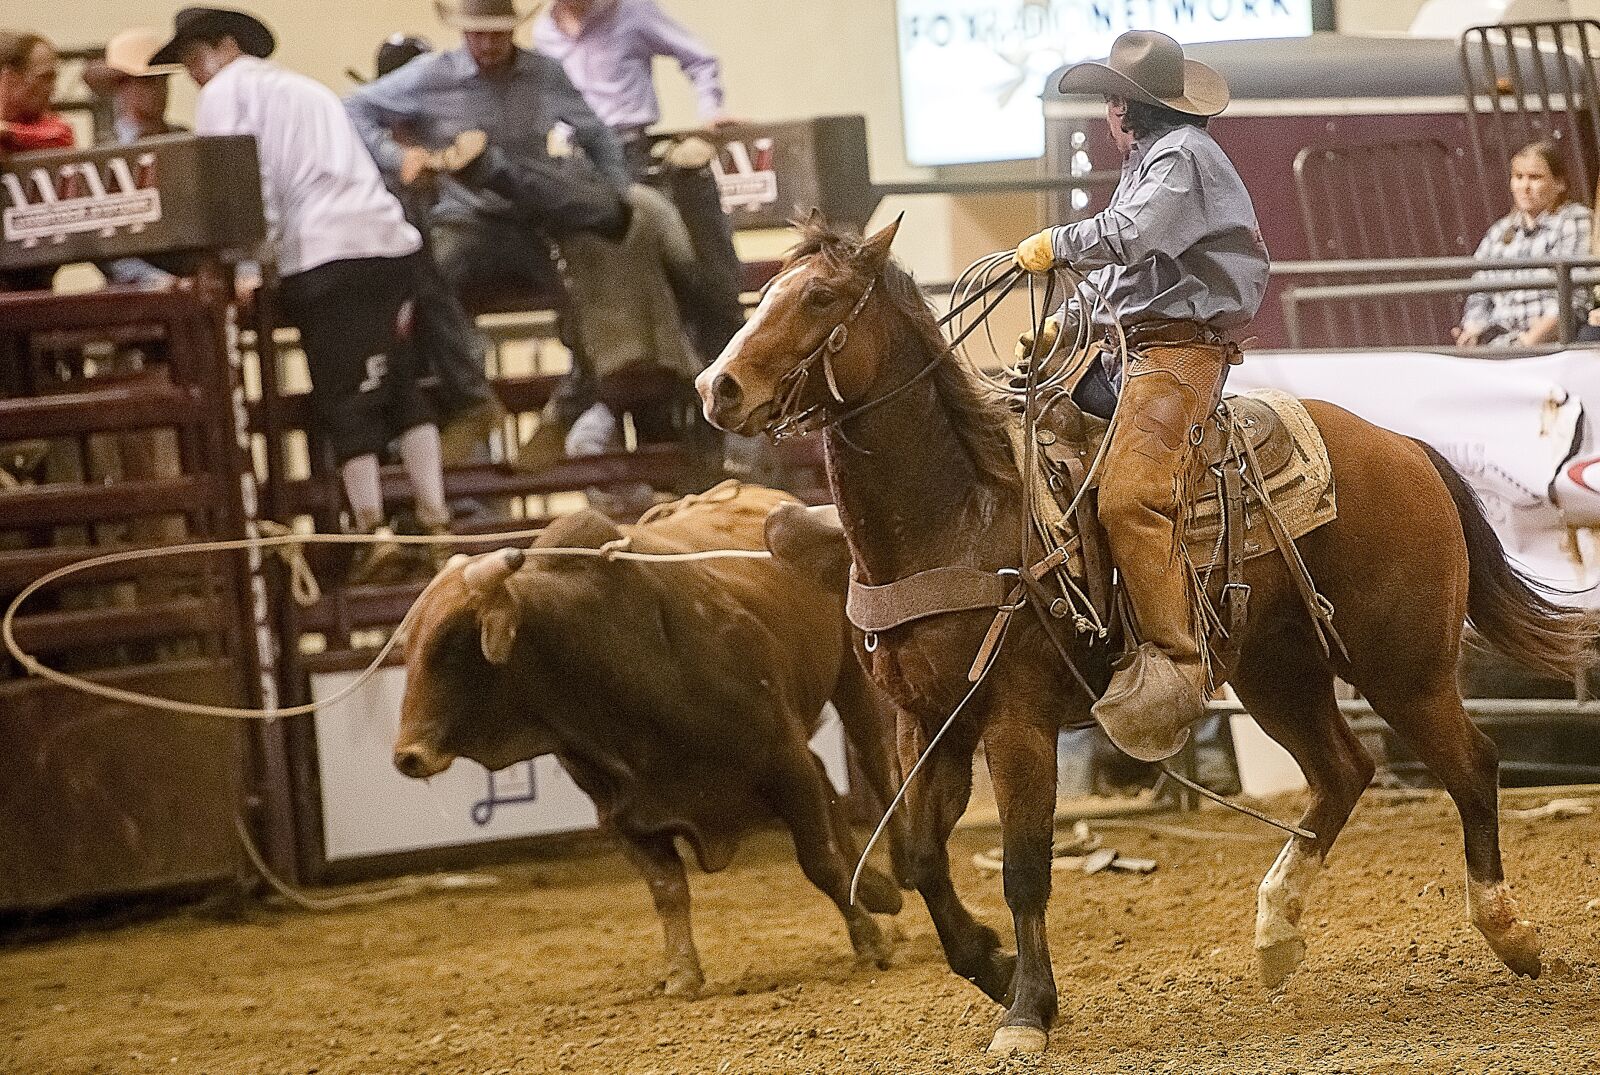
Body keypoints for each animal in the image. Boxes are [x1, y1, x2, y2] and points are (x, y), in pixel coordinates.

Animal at [694, 214, 1593, 1055]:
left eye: (819, 298)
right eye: (767, 290)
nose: (718, 387)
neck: (960, 513)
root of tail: (1405, 447)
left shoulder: (1016, 717)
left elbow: (1025, 867)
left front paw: (1026, 1009)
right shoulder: (924, 717)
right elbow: (918, 856)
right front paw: (991, 964)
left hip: (1403, 668)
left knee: (1472, 765)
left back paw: (1509, 933)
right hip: (1276, 669)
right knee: (1344, 770)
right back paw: (1276, 930)